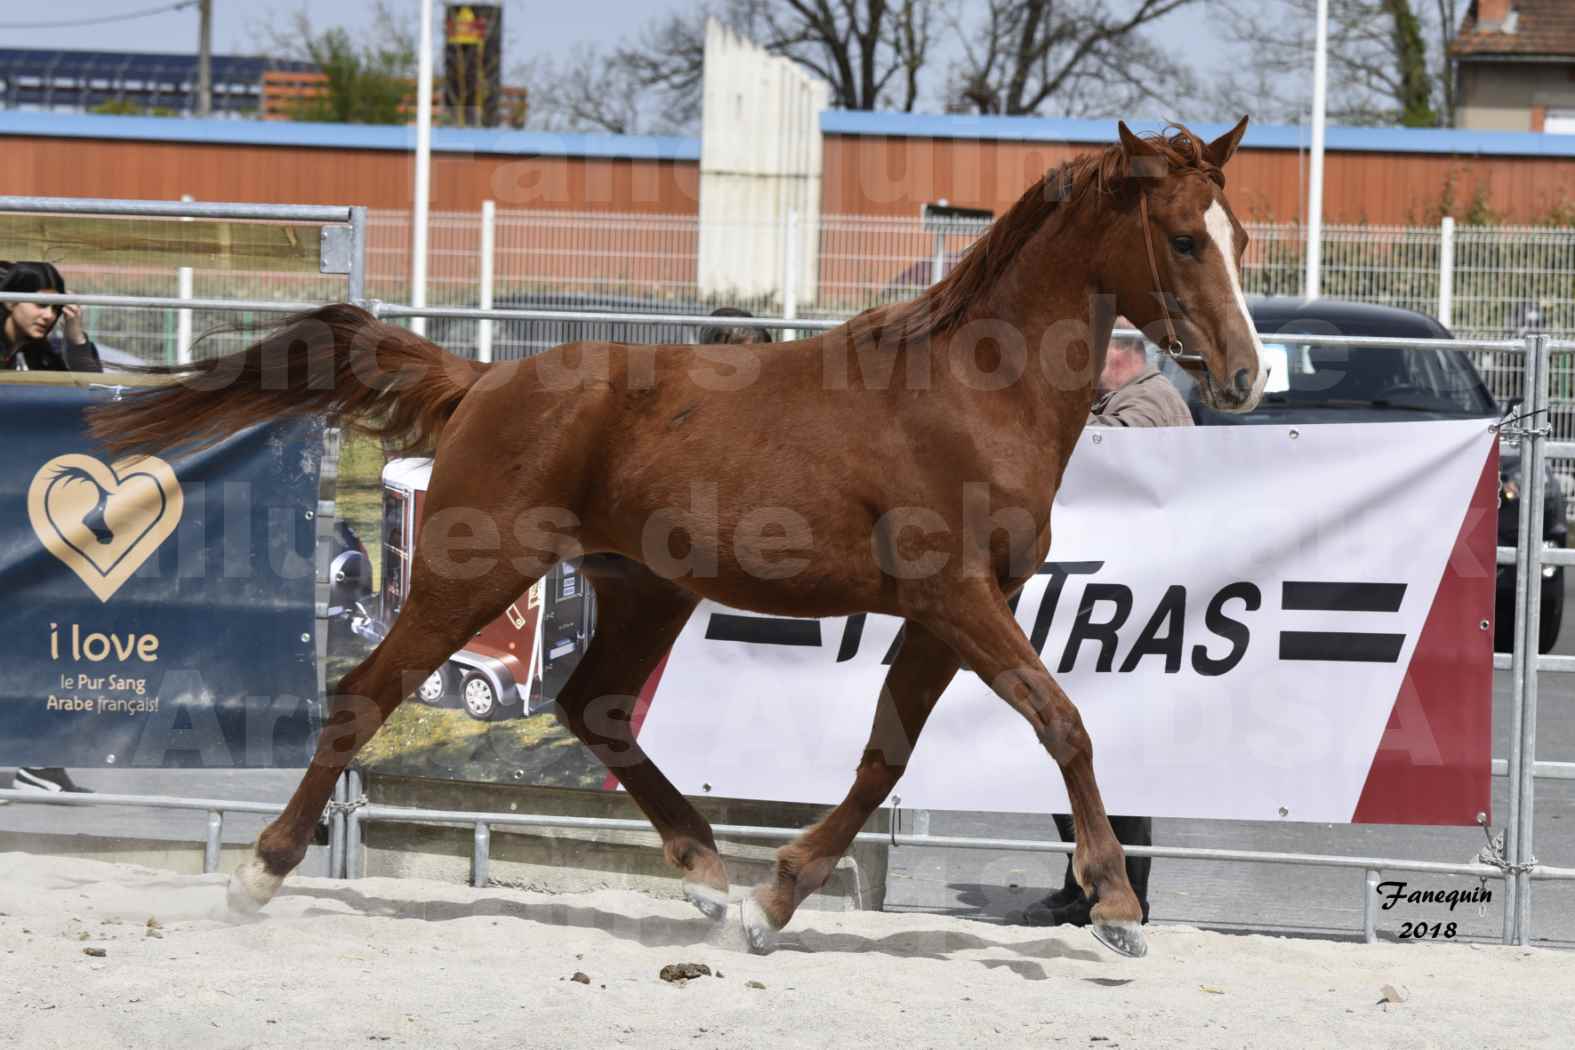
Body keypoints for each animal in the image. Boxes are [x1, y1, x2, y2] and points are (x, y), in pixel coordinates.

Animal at [89, 117, 1266, 963]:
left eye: (1243, 239)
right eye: (1183, 238)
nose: (1246, 377)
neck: (966, 392)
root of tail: (484, 380)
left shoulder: (954, 612)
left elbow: (886, 758)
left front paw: (771, 902)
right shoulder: (955, 599)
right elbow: (1061, 723)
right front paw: (1114, 908)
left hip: (644, 588)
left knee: (592, 707)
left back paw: (705, 877)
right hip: (474, 572)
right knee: (367, 695)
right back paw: (257, 876)